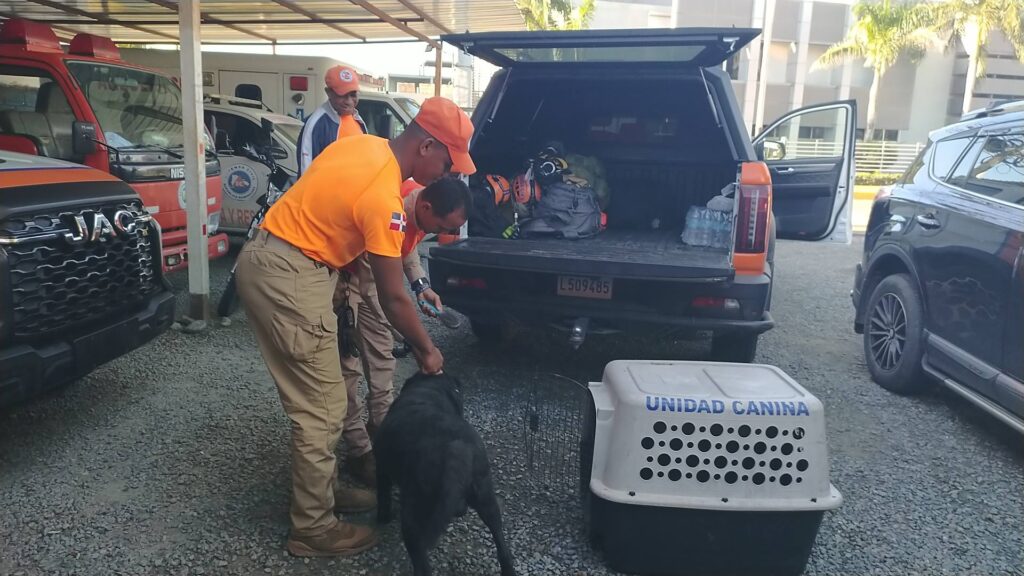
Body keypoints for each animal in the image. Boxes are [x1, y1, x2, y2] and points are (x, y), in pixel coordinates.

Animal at [374, 372, 516, 576]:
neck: (426, 392)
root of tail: (455, 446)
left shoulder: (381, 468)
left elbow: (383, 495)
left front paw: (382, 518)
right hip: (486, 497)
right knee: (501, 543)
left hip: (413, 516)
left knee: (421, 563)